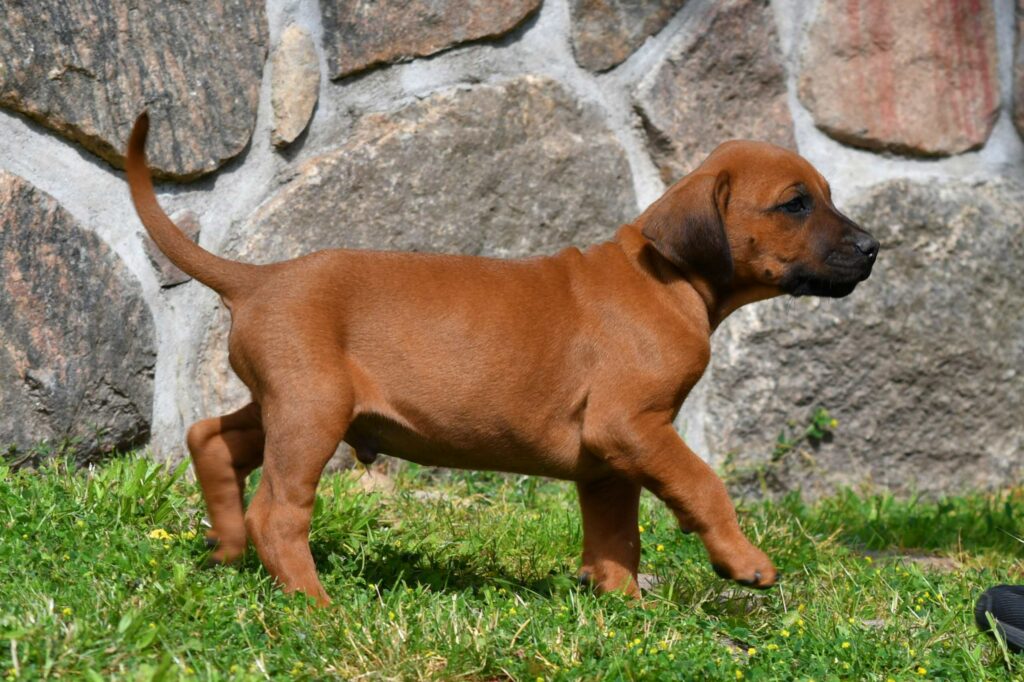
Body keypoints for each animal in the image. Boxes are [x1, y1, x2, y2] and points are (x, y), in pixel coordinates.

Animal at [126, 112, 877, 605]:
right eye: (796, 204)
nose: (874, 248)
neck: (668, 280)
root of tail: (259, 279)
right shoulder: (633, 426)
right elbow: (703, 484)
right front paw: (743, 562)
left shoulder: (611, 459)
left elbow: (617, 537)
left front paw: (622, 610)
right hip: (313, 411)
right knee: (279, 513)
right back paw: (317, 606)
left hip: (286, 400)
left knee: (211, 438)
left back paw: (226, 551)